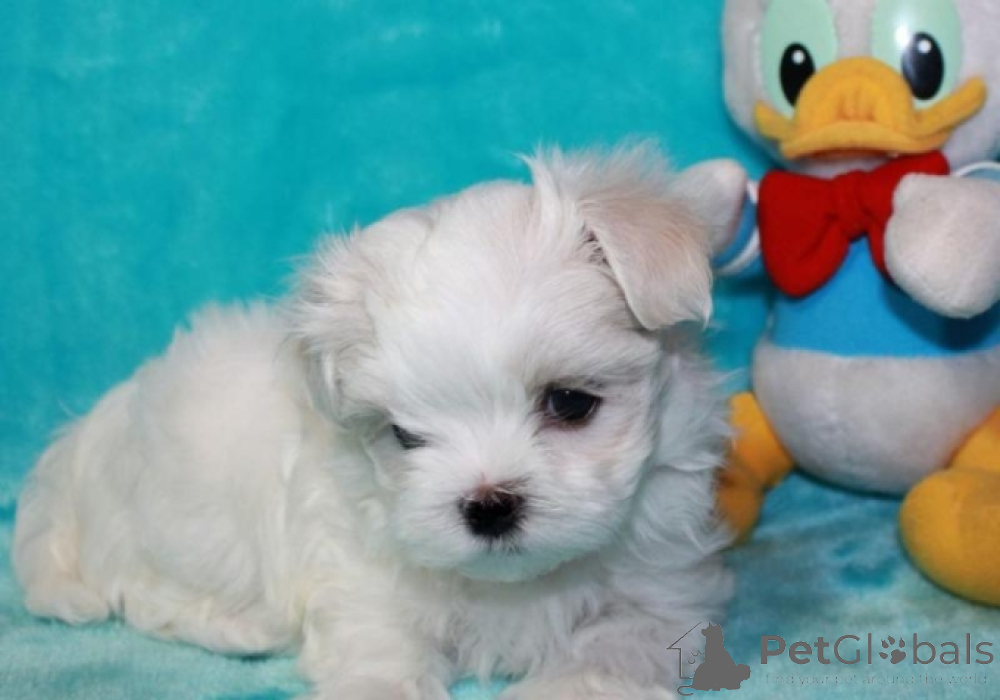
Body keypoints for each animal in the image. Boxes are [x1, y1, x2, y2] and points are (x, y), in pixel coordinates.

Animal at [13, 144, 743, 699]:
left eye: (569, 403)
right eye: (405, 435)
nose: (488, 504)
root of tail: (73, 450)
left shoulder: (661, 589)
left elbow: (609, 651)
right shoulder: (362, 586)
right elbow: (376, 651)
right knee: (140, 593)